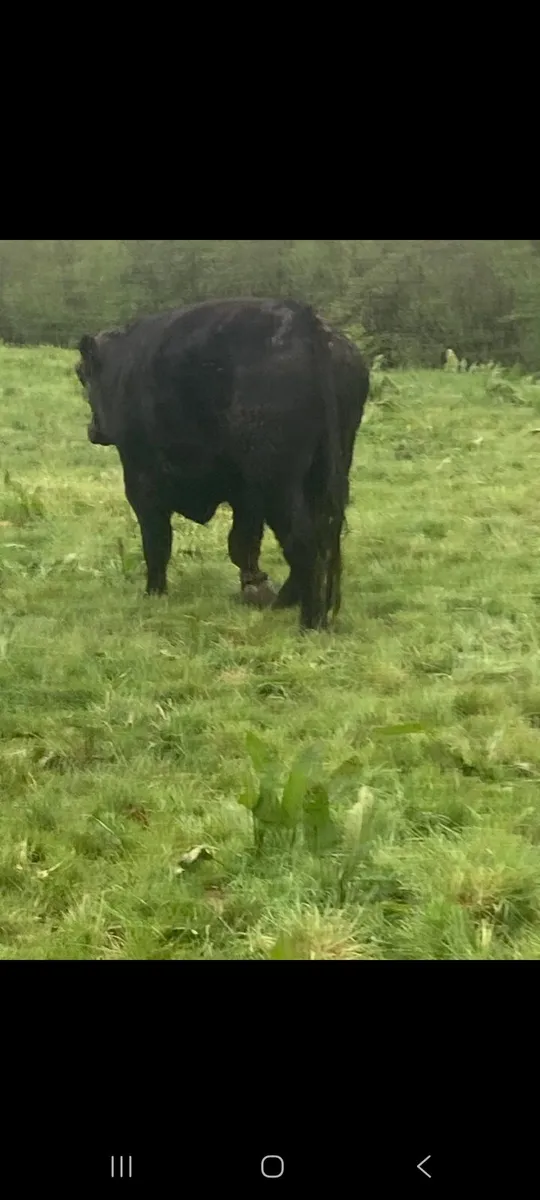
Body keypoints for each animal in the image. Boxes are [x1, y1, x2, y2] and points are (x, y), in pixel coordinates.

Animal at [76, 298, 370, 631]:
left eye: (82, 374)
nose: (93, 430)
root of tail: (303, 320)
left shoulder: (141, 482)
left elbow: (157, 541)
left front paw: (154, 593)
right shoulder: (245, 494)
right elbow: (243, 543)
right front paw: (256, 590)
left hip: (278, 484)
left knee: (304, 542)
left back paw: (310, 622)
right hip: (323, 474)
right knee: (322, 538)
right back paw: (284, 603)